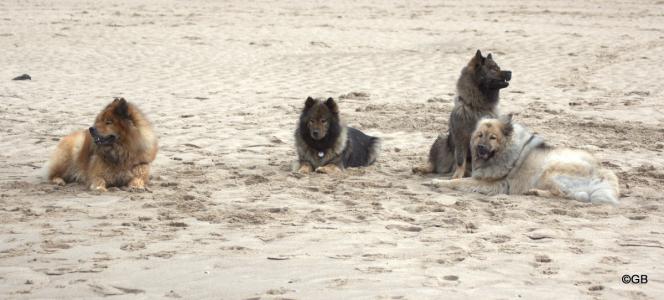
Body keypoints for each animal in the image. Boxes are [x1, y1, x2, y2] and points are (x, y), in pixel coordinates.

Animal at [434, 115, 620, 204]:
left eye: (493, 137)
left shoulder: (492, 183)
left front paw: (439, 182)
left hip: (550, 170)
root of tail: (604, 173)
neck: (505, 152)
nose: (480, 148)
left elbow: (459, 182)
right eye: (480, 135)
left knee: (563, 194)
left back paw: (536, 192)